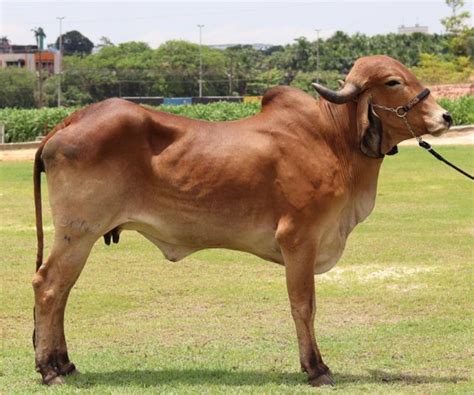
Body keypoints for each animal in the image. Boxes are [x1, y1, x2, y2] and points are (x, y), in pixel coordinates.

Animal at [31, 55, 450, 386]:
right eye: (393, 82)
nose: (445, 116)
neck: (333, 140)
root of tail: (69, 121)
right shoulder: (299, 239)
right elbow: (304, 304)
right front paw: (315, 368)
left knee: (61, 292)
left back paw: (63, 364)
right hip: (77, 233)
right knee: (49, 287)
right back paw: (51, 369)